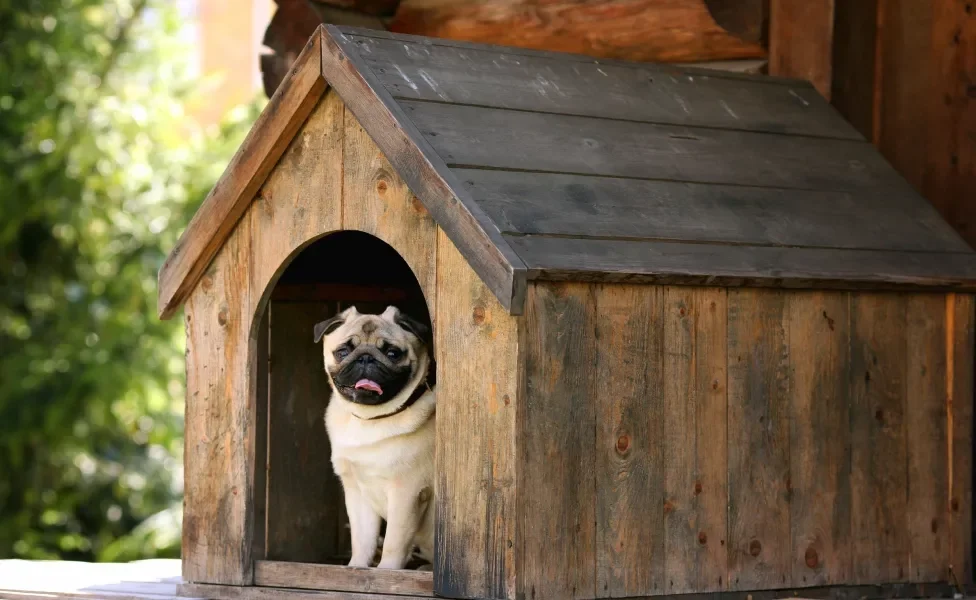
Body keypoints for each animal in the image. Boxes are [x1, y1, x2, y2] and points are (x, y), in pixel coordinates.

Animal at [314, 308, 436, 568]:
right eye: (343, 352)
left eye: (392, 353)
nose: (366, 358)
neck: (369, 419)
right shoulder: (357, 493)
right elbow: (362, 540)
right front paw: (357, 568)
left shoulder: (406, 493)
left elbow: (393, 543)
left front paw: (387, 571)